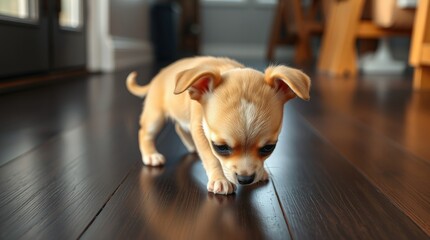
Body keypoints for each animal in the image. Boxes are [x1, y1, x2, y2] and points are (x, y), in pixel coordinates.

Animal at [124, 56, 310, 195]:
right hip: (156, 116)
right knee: (145, 133)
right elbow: (211, 157)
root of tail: (159, 75)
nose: (245, 179)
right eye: (221, 147)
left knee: (179, 127)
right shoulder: (200, 131)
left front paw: (261, 172)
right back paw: (151, 155)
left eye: (268, 148)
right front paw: (220, 180)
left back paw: (191, 147)